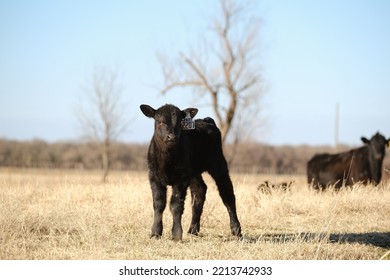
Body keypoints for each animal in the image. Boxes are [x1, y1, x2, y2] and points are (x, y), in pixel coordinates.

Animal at [139, 103, 239, 241]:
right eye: (160, 121)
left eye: (180, 122)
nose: (172, 137)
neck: (167, 159)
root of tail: (206, 120)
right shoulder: (154, 177)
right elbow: (159, 203)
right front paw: (155, 233)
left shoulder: (181, 179)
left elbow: (176, 204)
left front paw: (176, 234)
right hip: (194, 173)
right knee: (200, 191)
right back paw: (193, 230)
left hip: (218, 164)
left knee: (227, 194)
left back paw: (236, 230)